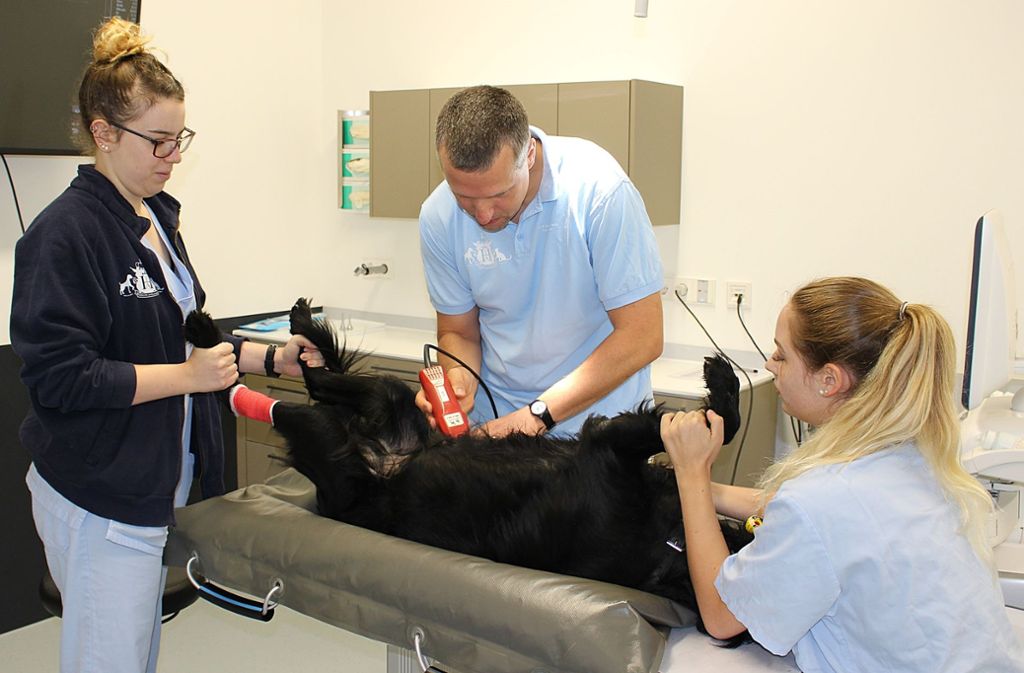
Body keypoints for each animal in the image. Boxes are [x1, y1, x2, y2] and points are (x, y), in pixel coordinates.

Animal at [186, 299, 753, 639]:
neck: (666, 546)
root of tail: (380, 456)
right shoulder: (614, 449)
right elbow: (715, 424)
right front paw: (723, 387)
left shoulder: (609, 447)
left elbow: (707, 424)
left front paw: (719, 393)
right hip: (391, 397)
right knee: (319, 375)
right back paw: (286, 329)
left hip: (325, 431)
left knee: (302, 388)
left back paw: (217, 338)